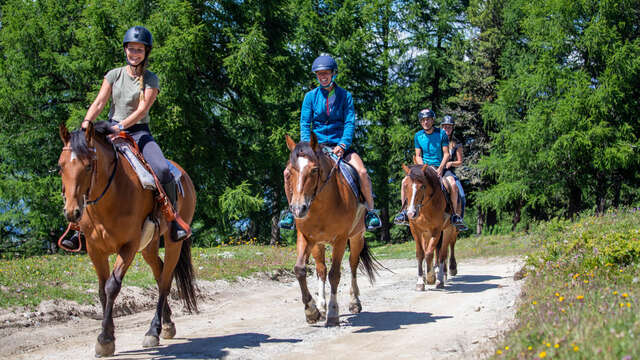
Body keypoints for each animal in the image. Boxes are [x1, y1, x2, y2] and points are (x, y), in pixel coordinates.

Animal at [57, 121, 198, 358]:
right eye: (61, 166)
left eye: (88, 166)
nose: (72, 212)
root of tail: (184, 174)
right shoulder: (95, 250)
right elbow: (101, 291)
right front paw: (109, 334)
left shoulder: (129, 246)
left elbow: (112, 287)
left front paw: (104, 340)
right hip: (149, 246)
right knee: (159, 273)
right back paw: (167, 324)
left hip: (173, 243)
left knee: (165, 281)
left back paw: (153, 331)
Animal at [284, 132, 378, 326]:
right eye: (289, 172)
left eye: (314, 170)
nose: (298, 209)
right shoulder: (305, 237)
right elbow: (300, 269)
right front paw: (311, 311)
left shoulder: (341, 239)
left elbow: (335, 274)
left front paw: (333, 312)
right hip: (317, 244)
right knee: (321, 270)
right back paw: (321, 306)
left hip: (356, 237)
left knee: (353, 264)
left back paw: (354, 302)